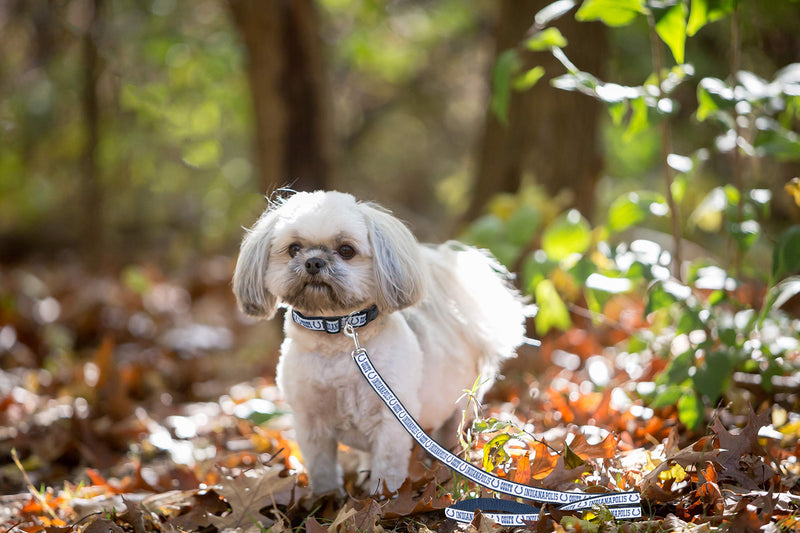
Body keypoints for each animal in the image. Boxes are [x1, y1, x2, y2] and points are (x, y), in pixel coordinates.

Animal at [231, 189, 528, 492]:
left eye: (346, 250)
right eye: (294, 249)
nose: (313, 262)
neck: (337, 337)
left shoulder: (392, 421)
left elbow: (386, 468)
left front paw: (382, 498)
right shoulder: (310, 423)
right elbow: (322, 468)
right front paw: (326, 497)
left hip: (459, 406)